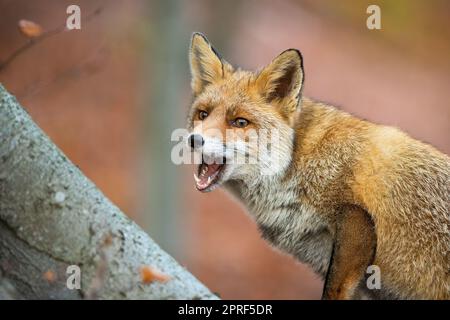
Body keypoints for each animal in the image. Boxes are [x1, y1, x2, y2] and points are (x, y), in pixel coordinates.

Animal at [185, 33, 448, 300]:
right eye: (203, 114)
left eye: (239, 122)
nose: (194, 139)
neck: (298, 161)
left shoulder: (356, 222)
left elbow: (333, 291)